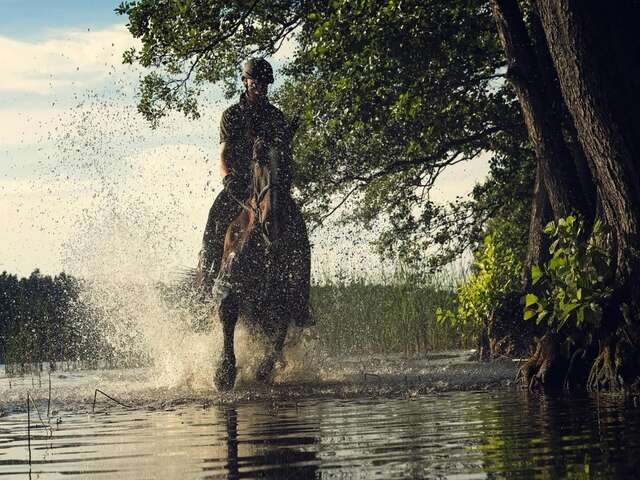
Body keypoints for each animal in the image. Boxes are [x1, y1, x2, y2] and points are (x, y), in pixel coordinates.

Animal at [214, 129, 312, 392]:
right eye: (258, 159)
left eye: (288, 158)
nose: (273, 222)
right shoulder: (230, 285)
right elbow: (228, 313)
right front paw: (224, 373)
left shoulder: (286, 294)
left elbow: (280, 330)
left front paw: (264, 369)